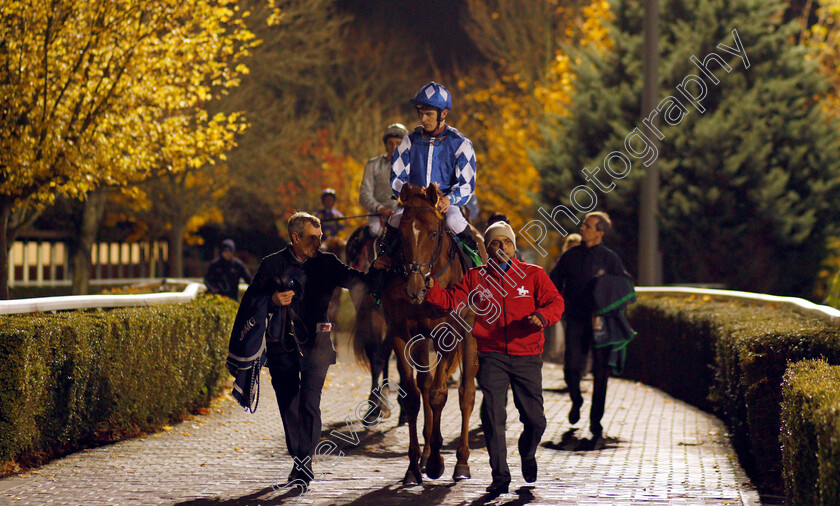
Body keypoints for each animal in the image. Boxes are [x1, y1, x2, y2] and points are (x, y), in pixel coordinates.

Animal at [380, 183, 486, 486]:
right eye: (402, 233)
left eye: (434, 233)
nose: (414, 288)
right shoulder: (401, 333)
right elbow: (414, 397)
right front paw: (414, 466)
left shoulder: (449, 333)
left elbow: (440, 394)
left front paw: (438, 462)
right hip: (422, 341)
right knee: (425, 385)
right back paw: (426, 454)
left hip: (469, 335)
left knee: (466, 393)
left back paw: (461, 462)